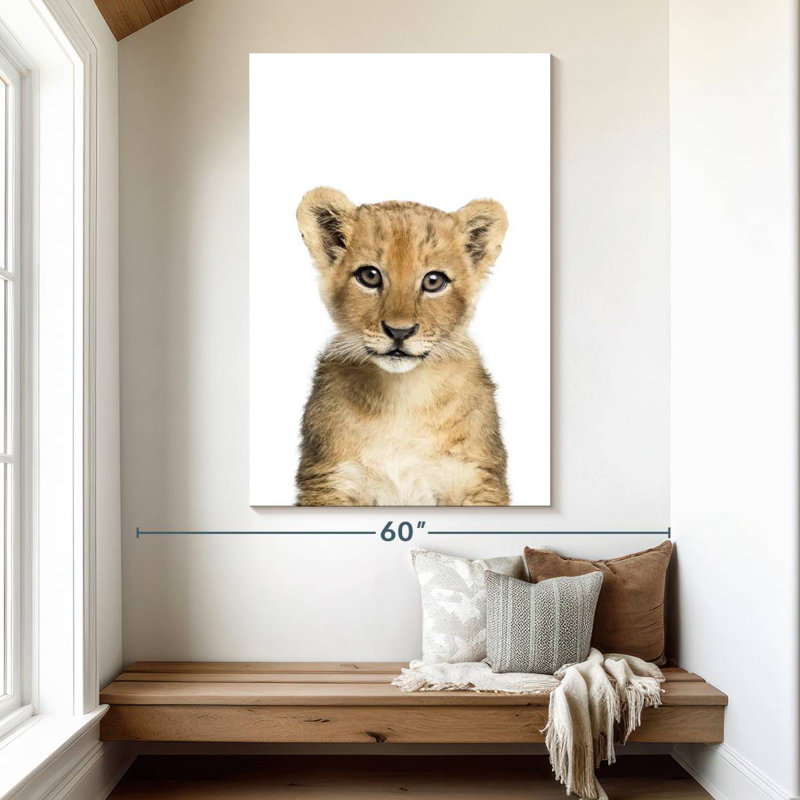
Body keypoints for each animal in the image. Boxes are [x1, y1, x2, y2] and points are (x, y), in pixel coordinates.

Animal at [295, 188, 509, 506]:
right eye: (369, 276)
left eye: (433, 281)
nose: (399, 331)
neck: (402, 397)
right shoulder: (330, 480)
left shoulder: (476, 479)